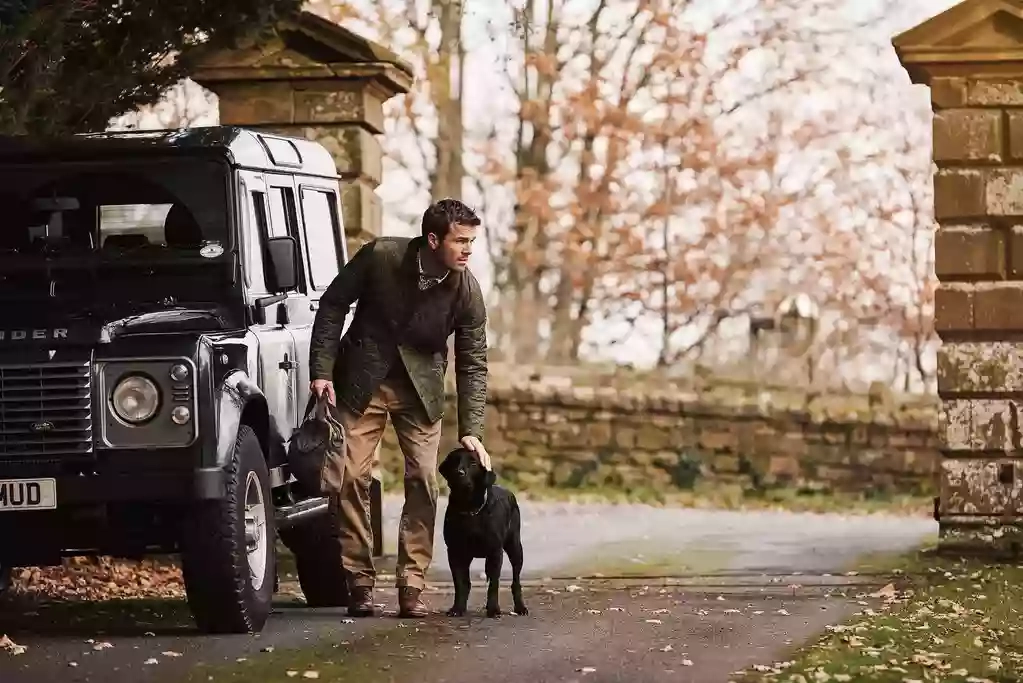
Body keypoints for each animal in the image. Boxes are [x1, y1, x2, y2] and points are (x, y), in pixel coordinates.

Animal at [437, 447, 527, 617]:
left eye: (473, 463)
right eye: (454, 461)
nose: (459, 473)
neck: (469, 509)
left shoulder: (495, 551)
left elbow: (493, 584)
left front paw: (493, 609)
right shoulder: (455, 551)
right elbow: (460, 583)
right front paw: (457, 608)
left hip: (515, 547)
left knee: (516, 581)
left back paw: (520, 607)